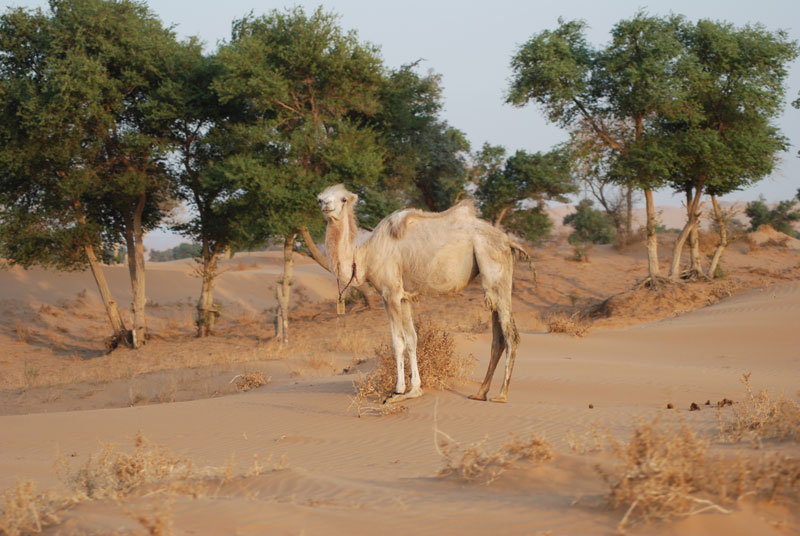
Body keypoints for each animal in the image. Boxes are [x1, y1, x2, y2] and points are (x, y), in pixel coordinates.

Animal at [316, 183, 528, 402]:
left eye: (343, 199)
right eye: (320, 198)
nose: (325, 205)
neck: (365, 257)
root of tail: (508, 241)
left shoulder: (389, 293)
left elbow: (397, 342)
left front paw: (398, 391)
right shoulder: (404, 296)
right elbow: (412, 339)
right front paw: (415, 389)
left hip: (493, 266)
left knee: (511, 335)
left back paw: (501, 394)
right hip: (494, 281)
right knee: (498, 337)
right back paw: (480, 393)